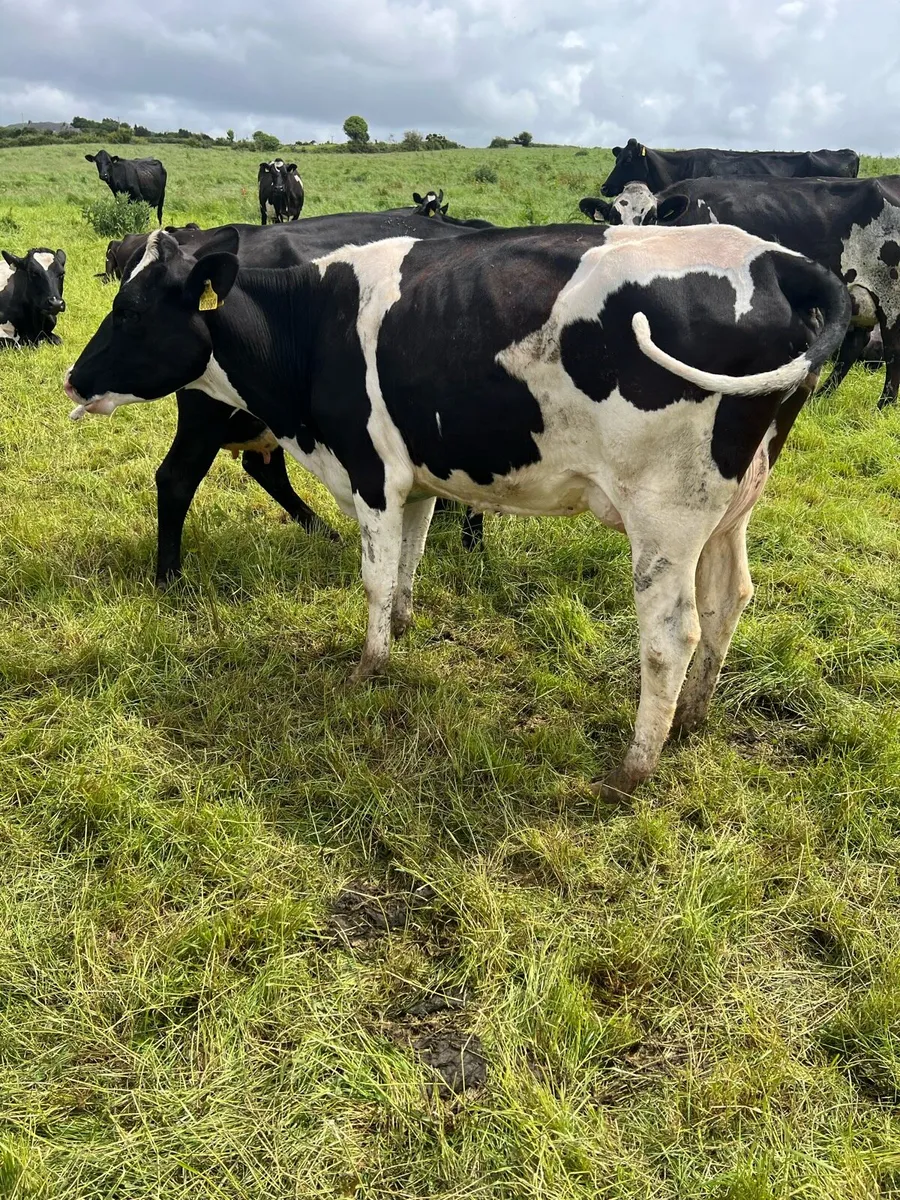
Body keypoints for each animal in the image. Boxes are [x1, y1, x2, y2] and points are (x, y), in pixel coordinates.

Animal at [65, 222, 850, 797]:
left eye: (130, 311)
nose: (73, 377)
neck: (312, 325)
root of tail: (775, 258)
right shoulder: (414, 477)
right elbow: (408, 560)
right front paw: (404, 627)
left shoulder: (373, 470)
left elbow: (374, 577)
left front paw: (369, 666)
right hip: (734, 502)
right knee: (729, 599)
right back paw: (692, 719)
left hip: (667, 512)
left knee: (672, 634)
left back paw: (635, 766)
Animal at [653, 175, 900, 406]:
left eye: (650, 218)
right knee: (854, 344)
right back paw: (822, 396)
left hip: (891, 298)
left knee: (892, 351)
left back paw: (882, 404)